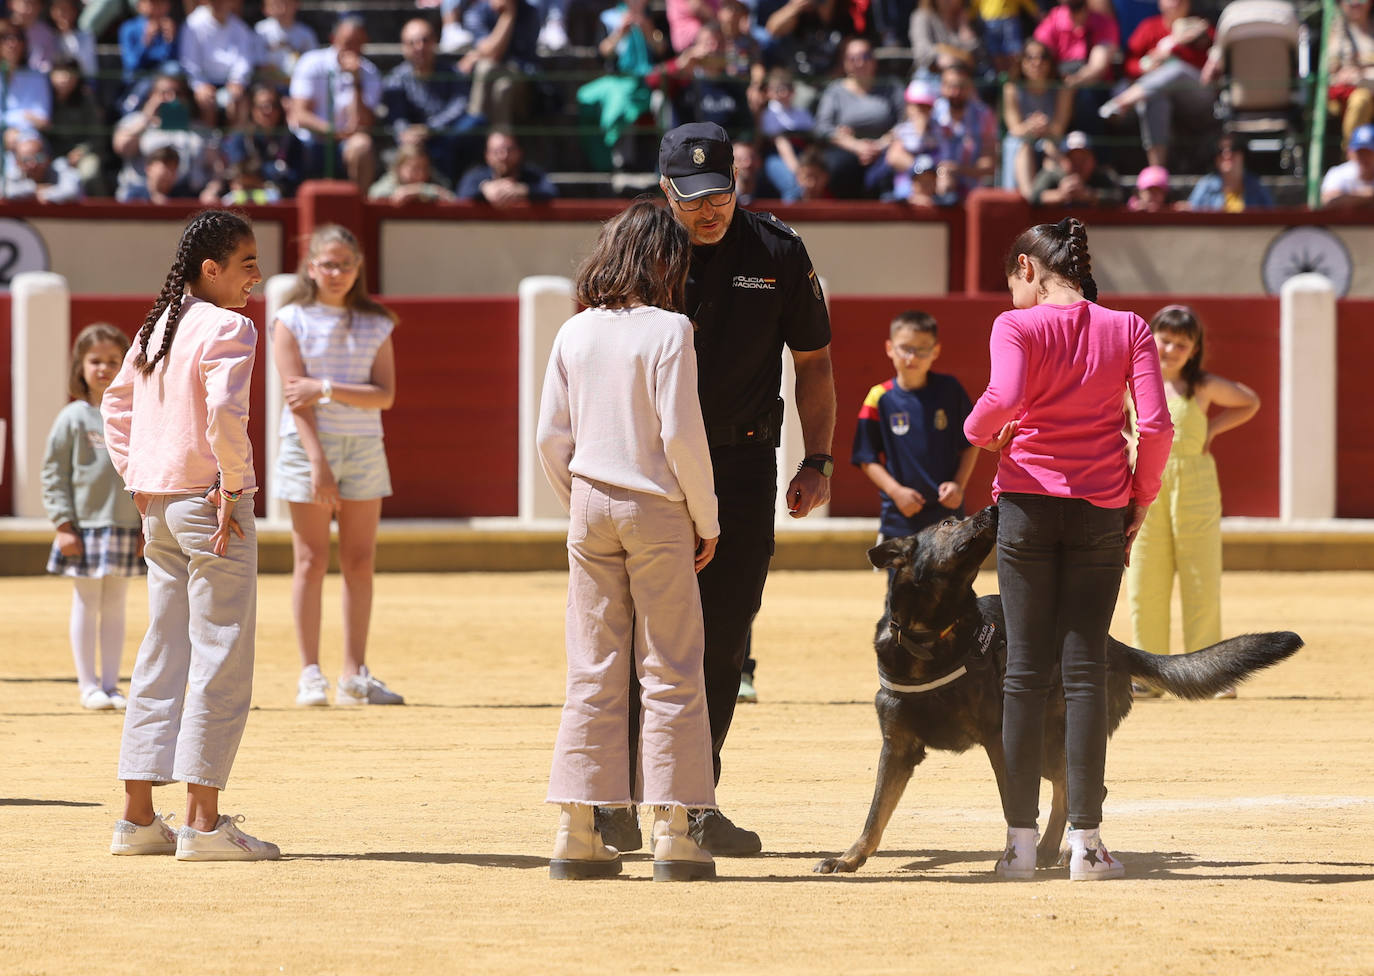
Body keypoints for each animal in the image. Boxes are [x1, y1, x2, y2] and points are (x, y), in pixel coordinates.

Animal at [818, 508, 1302, 874]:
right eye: (948, 522)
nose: (992, 508)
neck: (931, 635)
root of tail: (1113, 645)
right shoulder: (898, 747)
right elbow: (876, 812)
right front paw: (850, 857)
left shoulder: (999, 740)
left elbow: (1014, 802)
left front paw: (1016, 853)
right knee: (1071, 788)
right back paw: (1054, 848)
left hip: (1048, 739)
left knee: (1079, 788)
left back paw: (1057, 848)